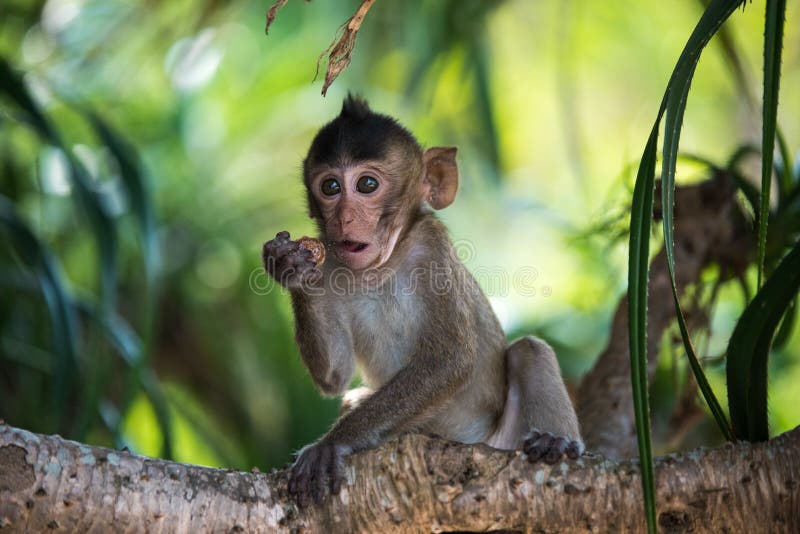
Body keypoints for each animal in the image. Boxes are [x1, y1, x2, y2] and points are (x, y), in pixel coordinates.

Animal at [262, 96, 580, 510]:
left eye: (366, 184)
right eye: (330, 186)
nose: (344, 218)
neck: (381, 267)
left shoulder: (432, 246)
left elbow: (450, 359)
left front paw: (330, 444)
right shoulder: (331, 263)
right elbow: (334, 376)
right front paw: (290, 266)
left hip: (502, 439)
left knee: (529, 350)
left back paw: (556, 440)